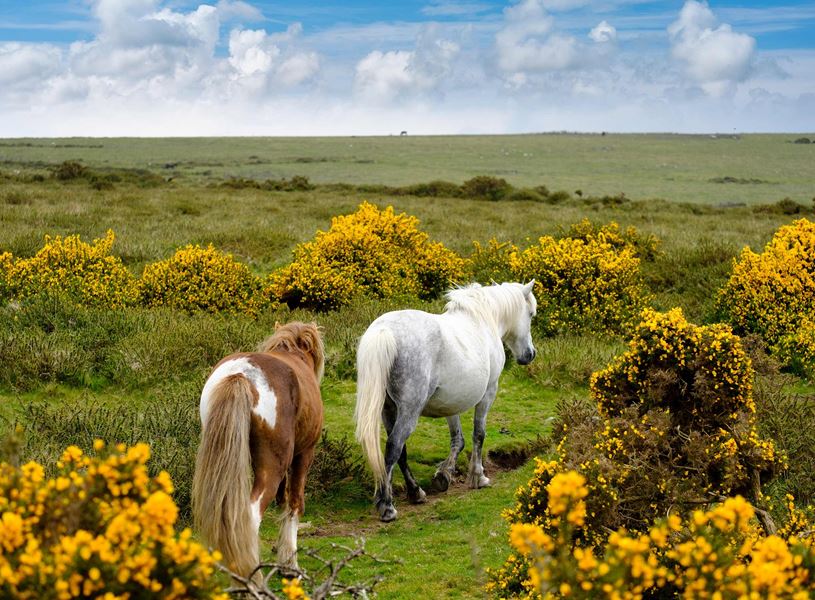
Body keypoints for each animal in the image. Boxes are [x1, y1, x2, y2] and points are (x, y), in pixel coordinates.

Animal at [192, 321, 324, 577]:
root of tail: (240, 375)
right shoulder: (304, 455)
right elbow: (294, 504)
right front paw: (290, 565)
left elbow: (284, 501)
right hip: (272, 468)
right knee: (250, 518)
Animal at [354, 281, 537, 522]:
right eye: (531, 315)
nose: (530, 354)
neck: (483, 320)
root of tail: (385, 331)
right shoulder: (489, 392)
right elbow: (479, 434)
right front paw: (478, 477)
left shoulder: (451, 403)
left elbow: (458, 440)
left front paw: (444, 475)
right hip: (409, 411)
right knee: (394, 447)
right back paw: (387, 506)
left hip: (388, 410)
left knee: (400, 451)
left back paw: (415, 492)